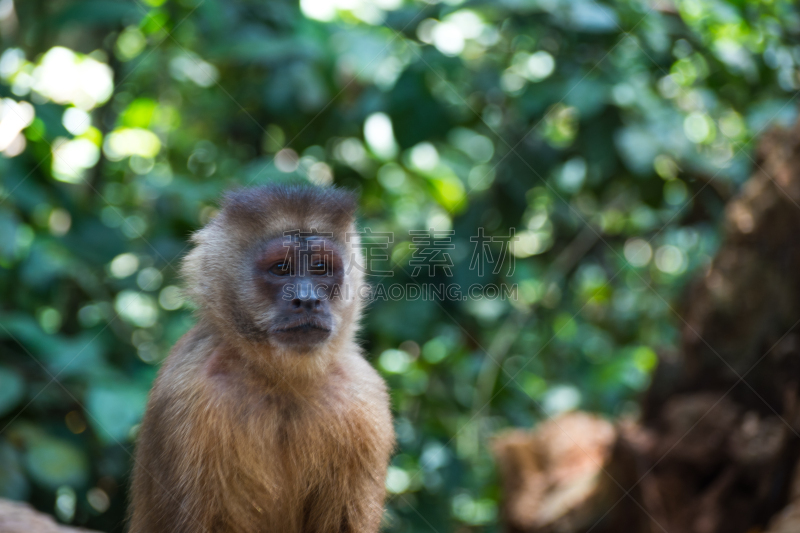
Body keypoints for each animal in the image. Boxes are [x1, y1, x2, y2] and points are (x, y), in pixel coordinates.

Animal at [127, 184, 396, 532]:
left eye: (320, 268)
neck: (281, 381)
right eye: (281, 268)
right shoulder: (187, 392)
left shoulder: (364, 396)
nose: (307, 300)